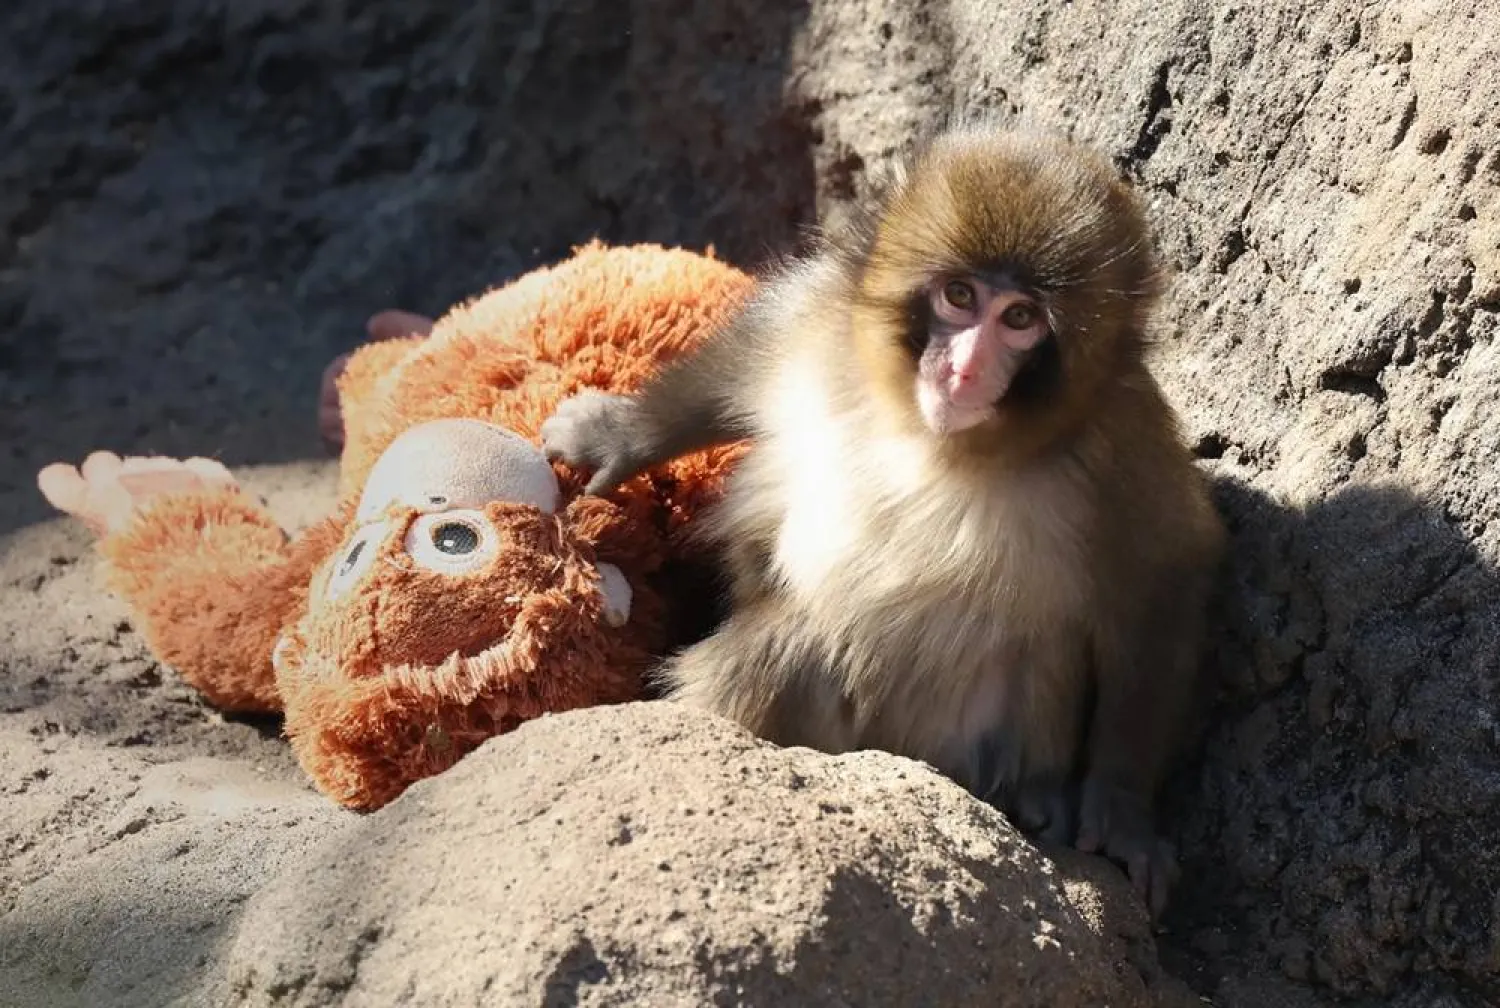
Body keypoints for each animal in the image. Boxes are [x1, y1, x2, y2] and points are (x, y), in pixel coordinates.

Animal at [540, 127, 1225, 915]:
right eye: (959, 296)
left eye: (1020, 319)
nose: (962, 371)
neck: (933, 438)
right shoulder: (823, 324)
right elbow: (743, 359)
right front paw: (618, 435)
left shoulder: (1123, 446)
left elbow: (1163, 582)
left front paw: (1122, 811)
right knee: (786, 648)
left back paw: (1038, 799)